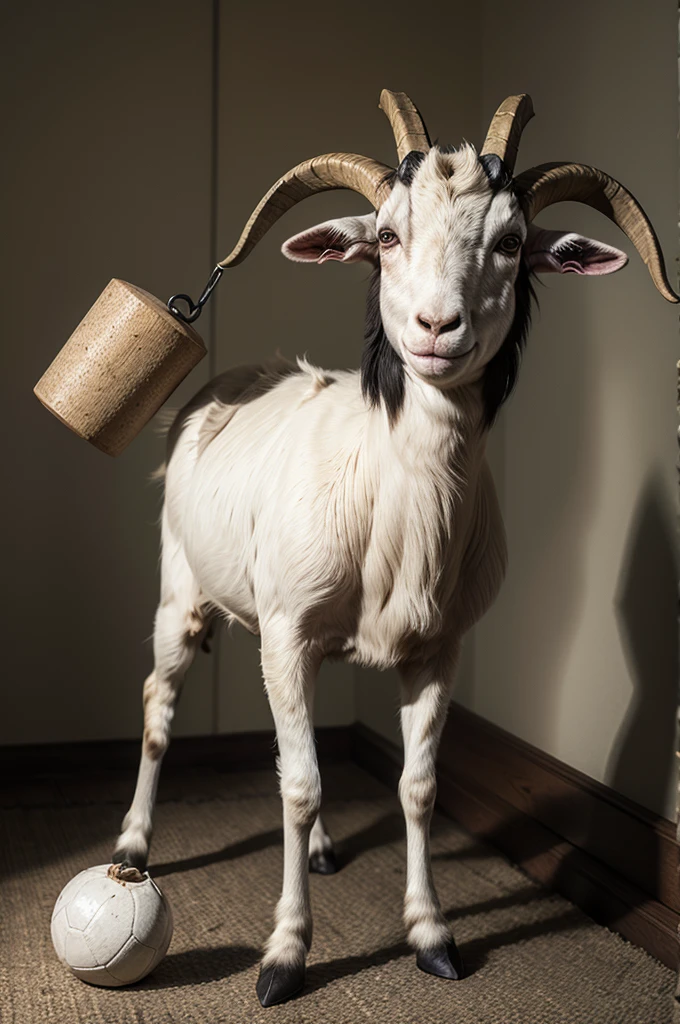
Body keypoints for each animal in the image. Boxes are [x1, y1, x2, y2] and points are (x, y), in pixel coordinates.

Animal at [114, 92, 675, 1003]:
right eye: (385, 234)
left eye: (511, 241)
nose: (437, 327)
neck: (397, 514)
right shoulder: (288, 631)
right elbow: (300, 785)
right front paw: (284, 956)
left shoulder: (437, 649)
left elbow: (416, 787)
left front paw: (432, 935)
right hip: (180, 591)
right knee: (160, 705)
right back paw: (132, 844)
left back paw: (319, 853)